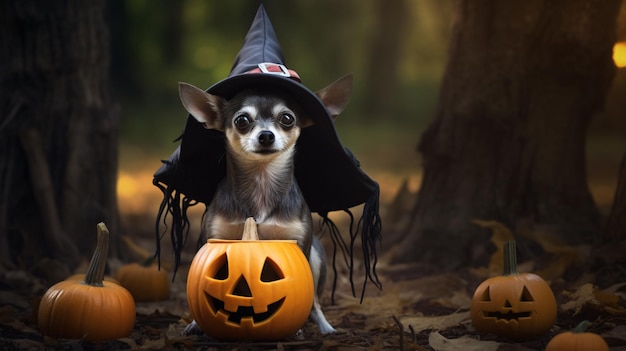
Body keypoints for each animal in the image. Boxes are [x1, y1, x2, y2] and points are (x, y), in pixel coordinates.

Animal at [178, 75, 352, 336]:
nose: (266, 135)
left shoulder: (299, 243)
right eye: (242, 120)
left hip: (316, 255)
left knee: (315, 303)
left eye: (287, 118)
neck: (261, 184)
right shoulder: (214, 238)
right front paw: (197, 323)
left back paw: (325, 327)